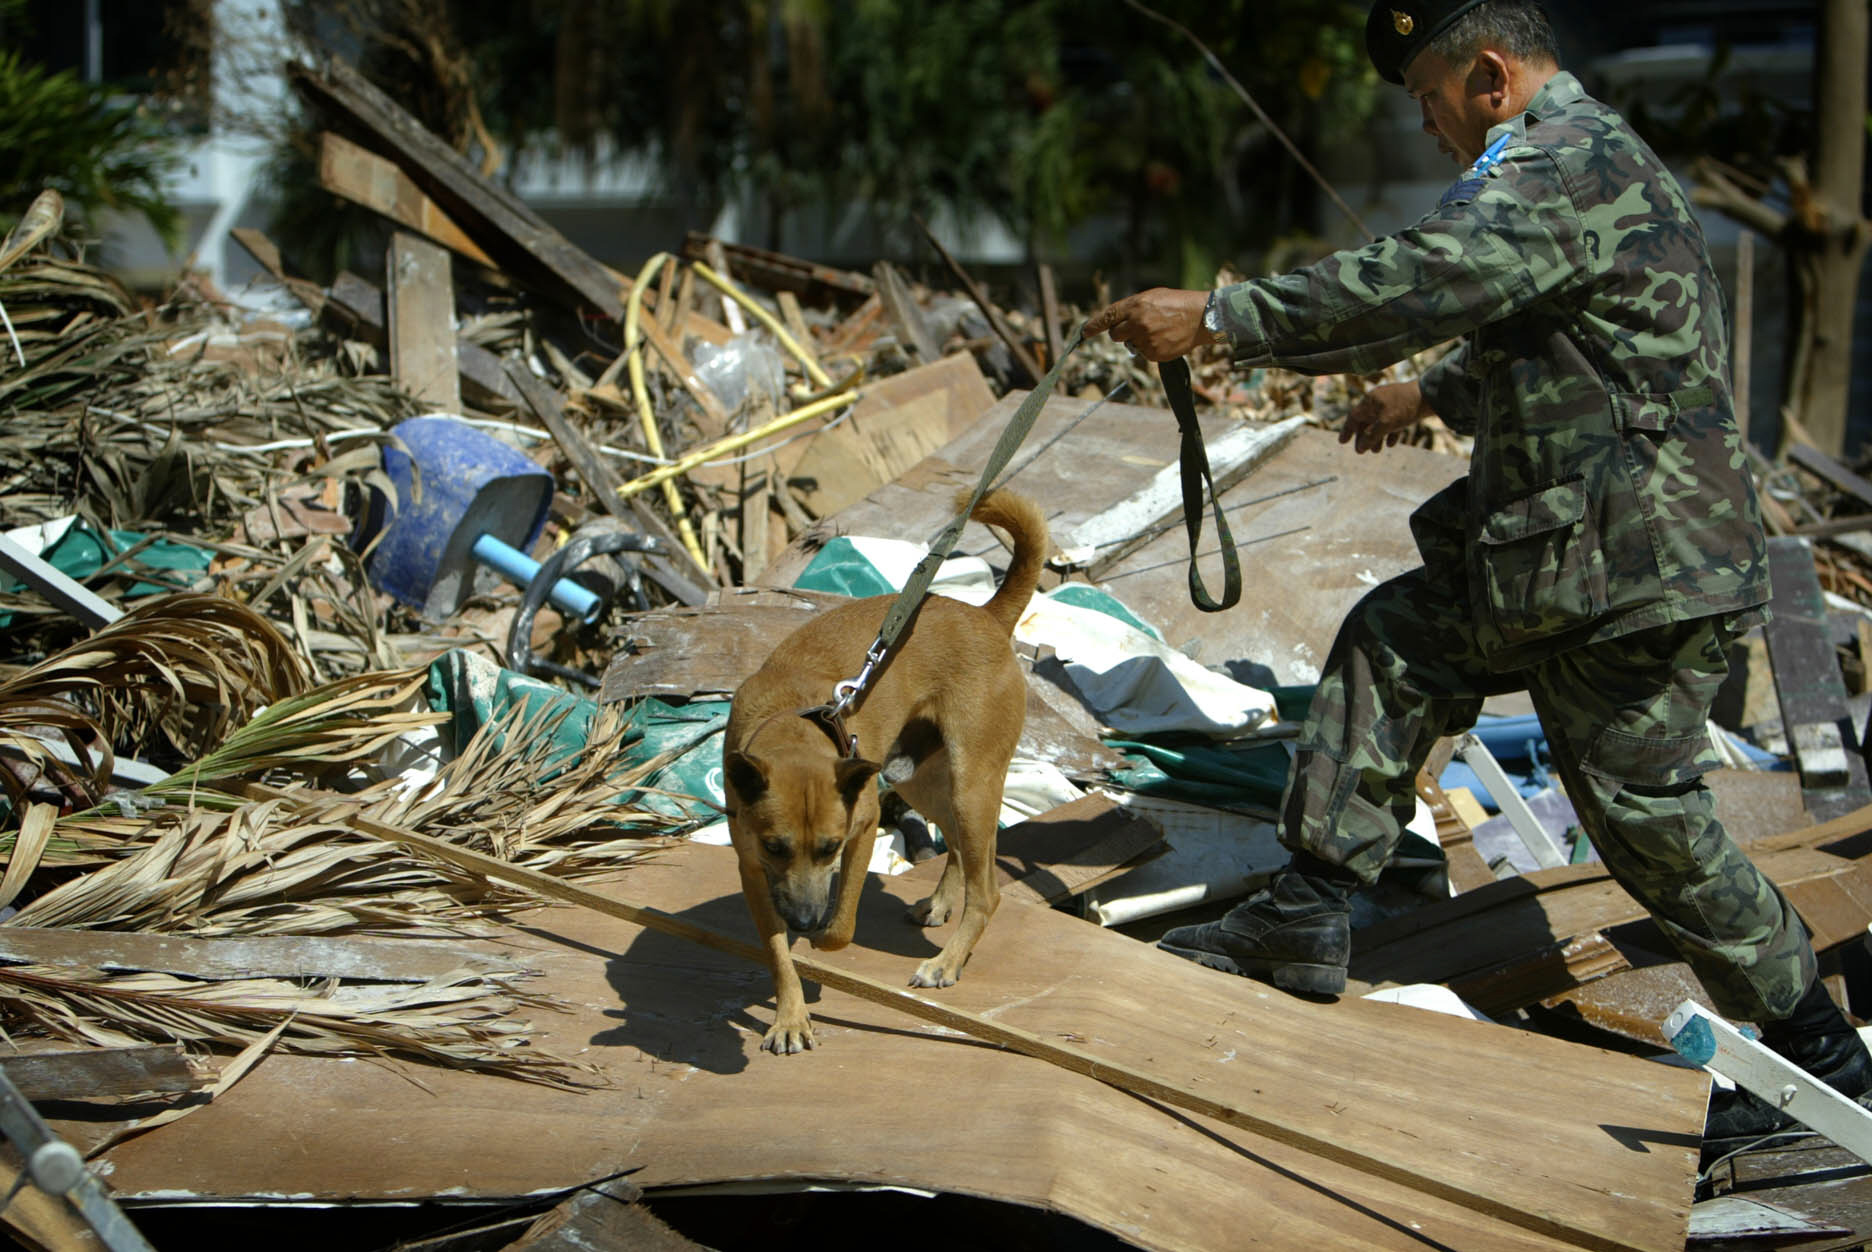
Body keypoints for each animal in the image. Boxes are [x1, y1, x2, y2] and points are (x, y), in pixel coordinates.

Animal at [718, 486, 1048, 1055]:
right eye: (774, 847)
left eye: (830, 847)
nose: (803, 917)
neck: (791, 720)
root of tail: (986, 615)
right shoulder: (753, 870)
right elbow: (777, 951)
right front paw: (790, 1016)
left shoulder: (864, 825)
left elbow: (842, 925)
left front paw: (820, 938)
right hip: (921, 780)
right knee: (962, 848)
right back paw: (940, 904)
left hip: (970, 782)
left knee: (988, 890)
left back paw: (946, 962)